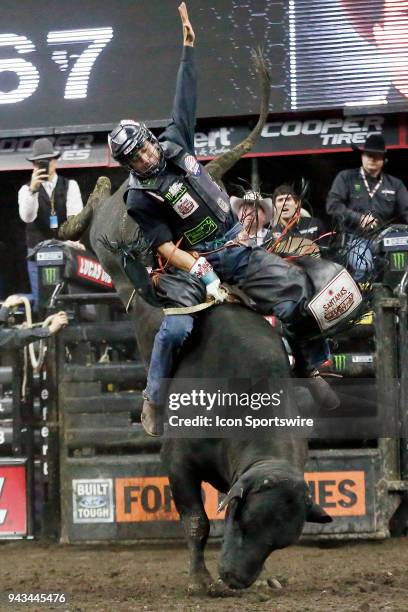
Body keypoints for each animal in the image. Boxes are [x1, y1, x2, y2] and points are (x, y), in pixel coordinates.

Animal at [63, 179, 332, 596]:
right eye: (244, 521)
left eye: (277, 543)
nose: (236, 579)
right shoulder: (179, 464)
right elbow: (197, 522)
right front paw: (200, 580)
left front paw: (264, 577)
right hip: (115, 233)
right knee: (99, 218)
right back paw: (94, 200)